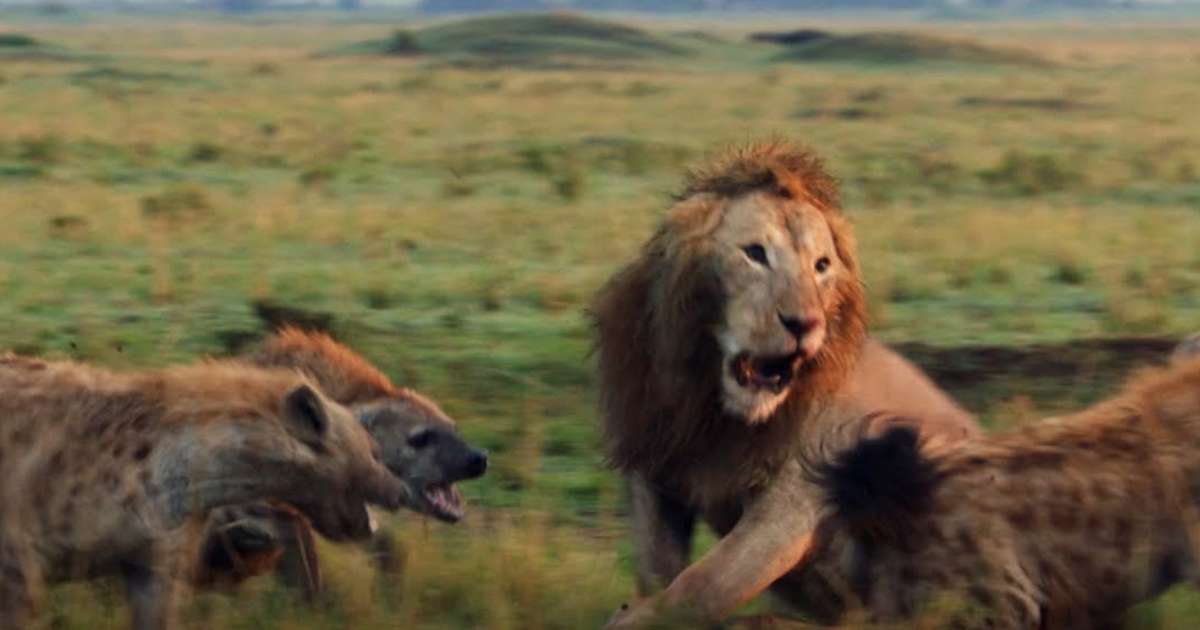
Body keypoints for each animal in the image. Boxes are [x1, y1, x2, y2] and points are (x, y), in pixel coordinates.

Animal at [592, 140, 980, 628]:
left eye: (821, 266)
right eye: (755, 253)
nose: (804, 323)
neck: (714, 406)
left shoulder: (794, 500)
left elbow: (703, 584)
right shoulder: (655, 463)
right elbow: (658, 573)